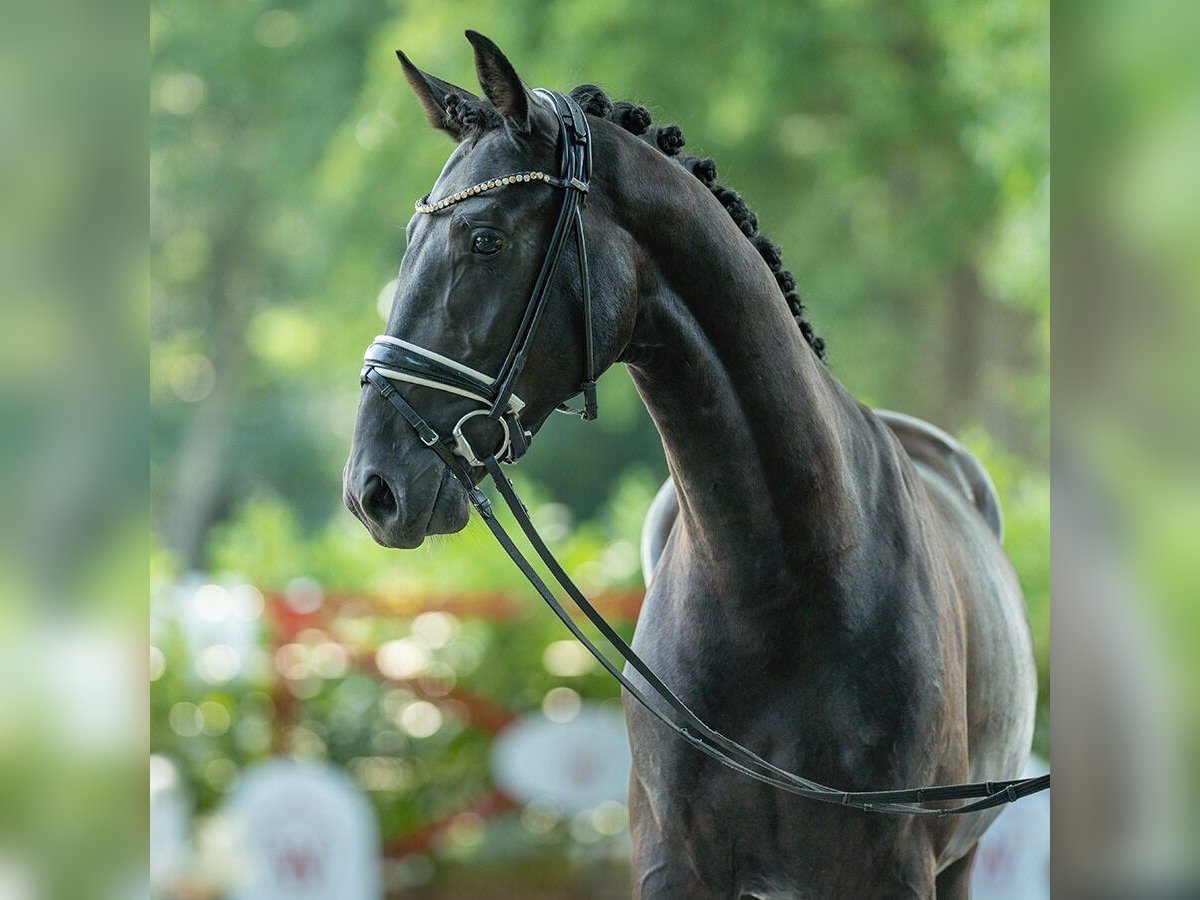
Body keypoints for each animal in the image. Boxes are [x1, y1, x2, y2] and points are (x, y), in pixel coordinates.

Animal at [343, 31, 1036, 897]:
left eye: (486, 239)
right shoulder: (673, 863)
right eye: (410, 243)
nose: (374, 489)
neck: (779, 577)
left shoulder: (894, 871)